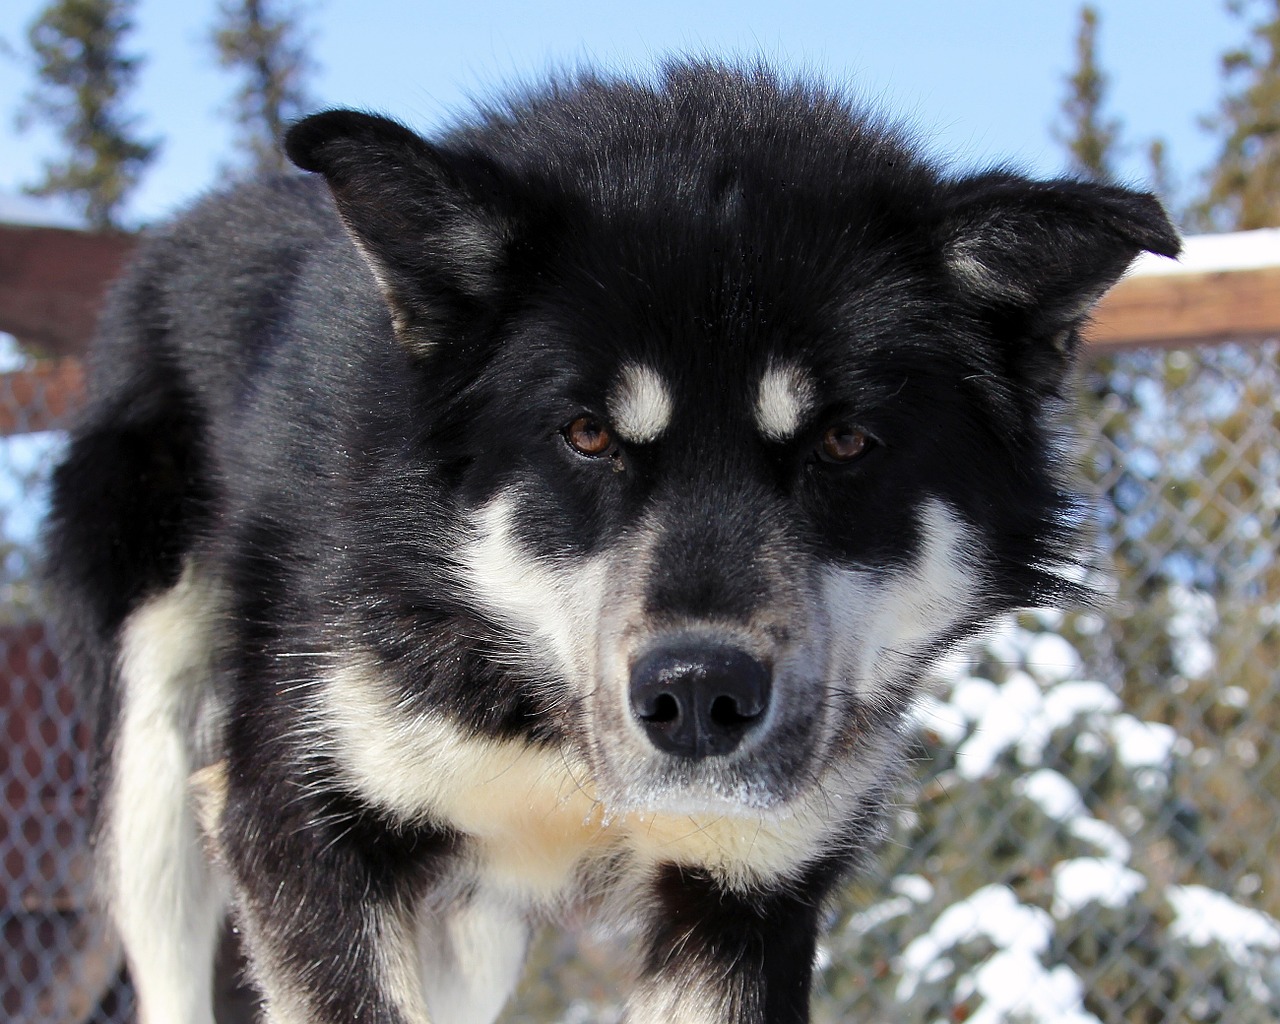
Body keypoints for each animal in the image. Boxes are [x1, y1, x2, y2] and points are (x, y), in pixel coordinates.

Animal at [42, 62, 1177, 1024]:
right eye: (587, 434)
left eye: (843, 442)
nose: (699, 693)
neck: (541, 719)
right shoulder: (297, 831)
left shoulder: (743, 894)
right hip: (161, 771)